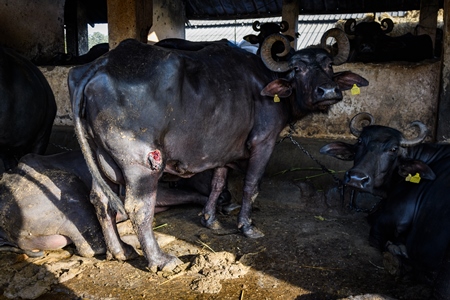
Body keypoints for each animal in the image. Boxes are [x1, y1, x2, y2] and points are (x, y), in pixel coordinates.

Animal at [67, 35, 370, 272]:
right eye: (297, 68)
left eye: (328, 65)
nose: (328, 90)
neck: (266, 81)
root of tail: (99, 66)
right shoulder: (264, 142)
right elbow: (251, 185)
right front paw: (246, 226)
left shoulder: (223, 150)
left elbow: (217, 183)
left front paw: (210, 219)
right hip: (141, 163)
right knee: (138, 207)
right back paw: (160, 260)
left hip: (101, 158)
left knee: (101, 200)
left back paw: (120, 251)